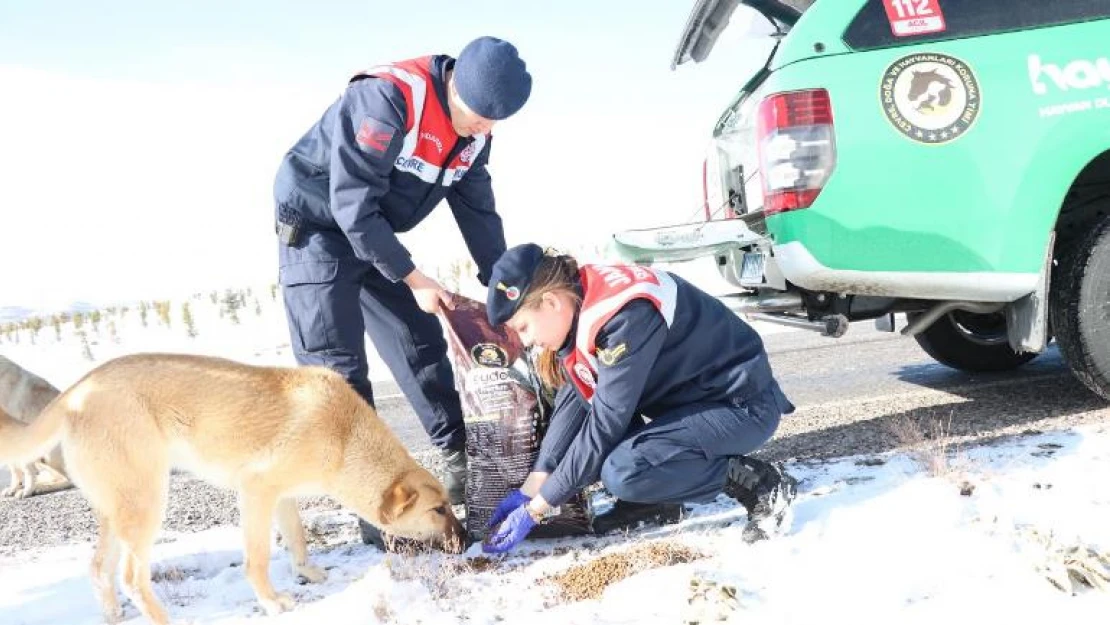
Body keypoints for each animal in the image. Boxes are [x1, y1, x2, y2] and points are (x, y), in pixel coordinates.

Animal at [0, 357, 69, 499]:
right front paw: (13, 488)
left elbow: (24, 469)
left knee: (68, 480)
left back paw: (40, 488)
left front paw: (27, 490)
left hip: (49, 453)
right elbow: (15, 469)